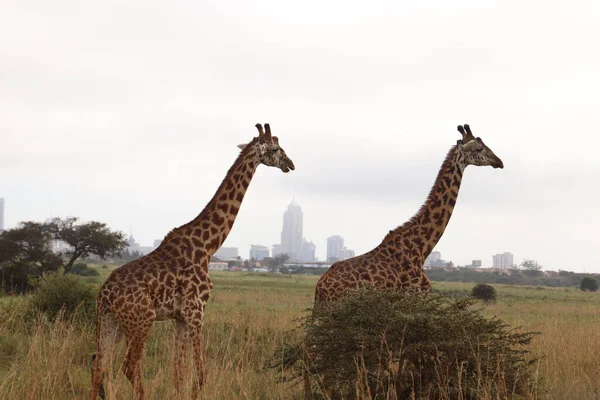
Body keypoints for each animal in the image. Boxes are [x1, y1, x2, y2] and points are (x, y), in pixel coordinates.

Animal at [90, 123, 294, 398]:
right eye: (275, 149)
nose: (291, 164)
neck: (207, 246)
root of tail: (104, 294)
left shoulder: (180, 318)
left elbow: (178, 373)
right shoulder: (196, 311)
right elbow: (200, 374)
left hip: (111, 322)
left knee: (98, 366)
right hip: (141, 320)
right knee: (129, 366)